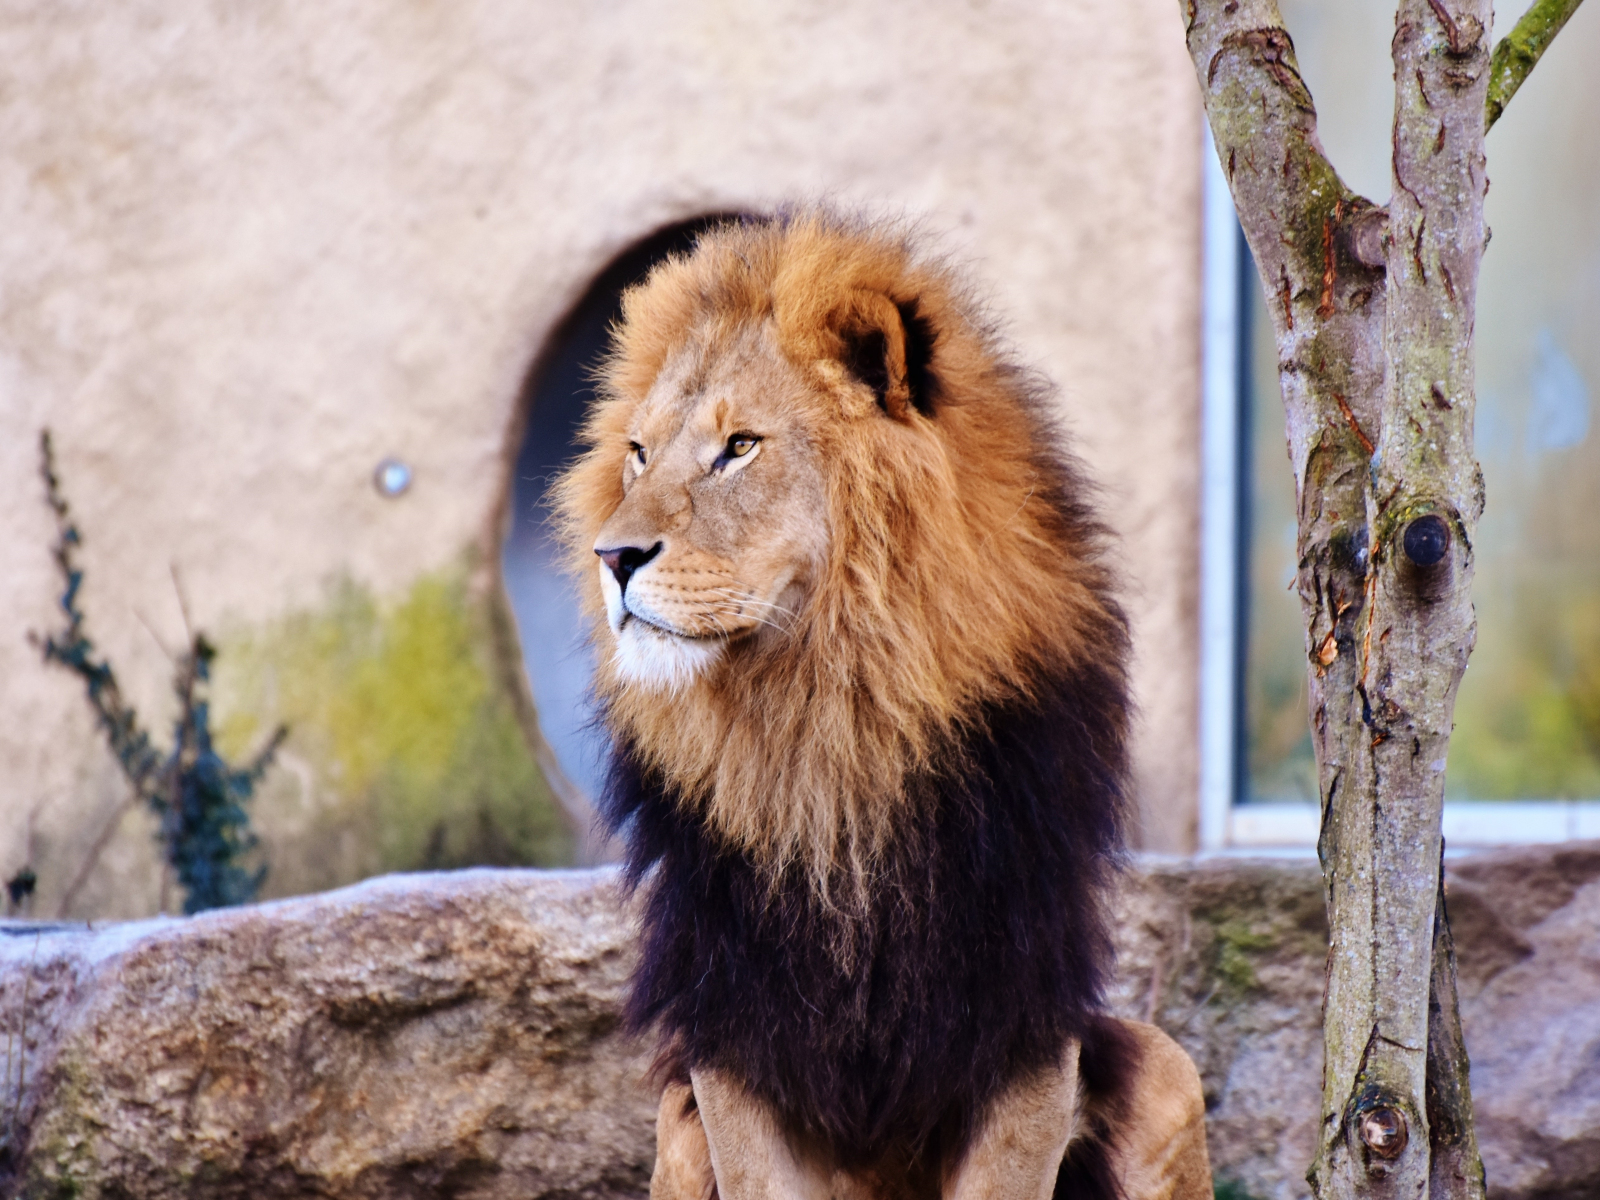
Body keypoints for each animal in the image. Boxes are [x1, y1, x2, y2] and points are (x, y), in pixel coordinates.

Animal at [556, 214, 1203, 1200]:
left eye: (739, 447)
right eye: (637, 453)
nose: (613, 557)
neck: (831, 716)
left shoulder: (1021, 1018)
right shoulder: (733, 1026)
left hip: (1170, 1069)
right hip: (675, 1119)